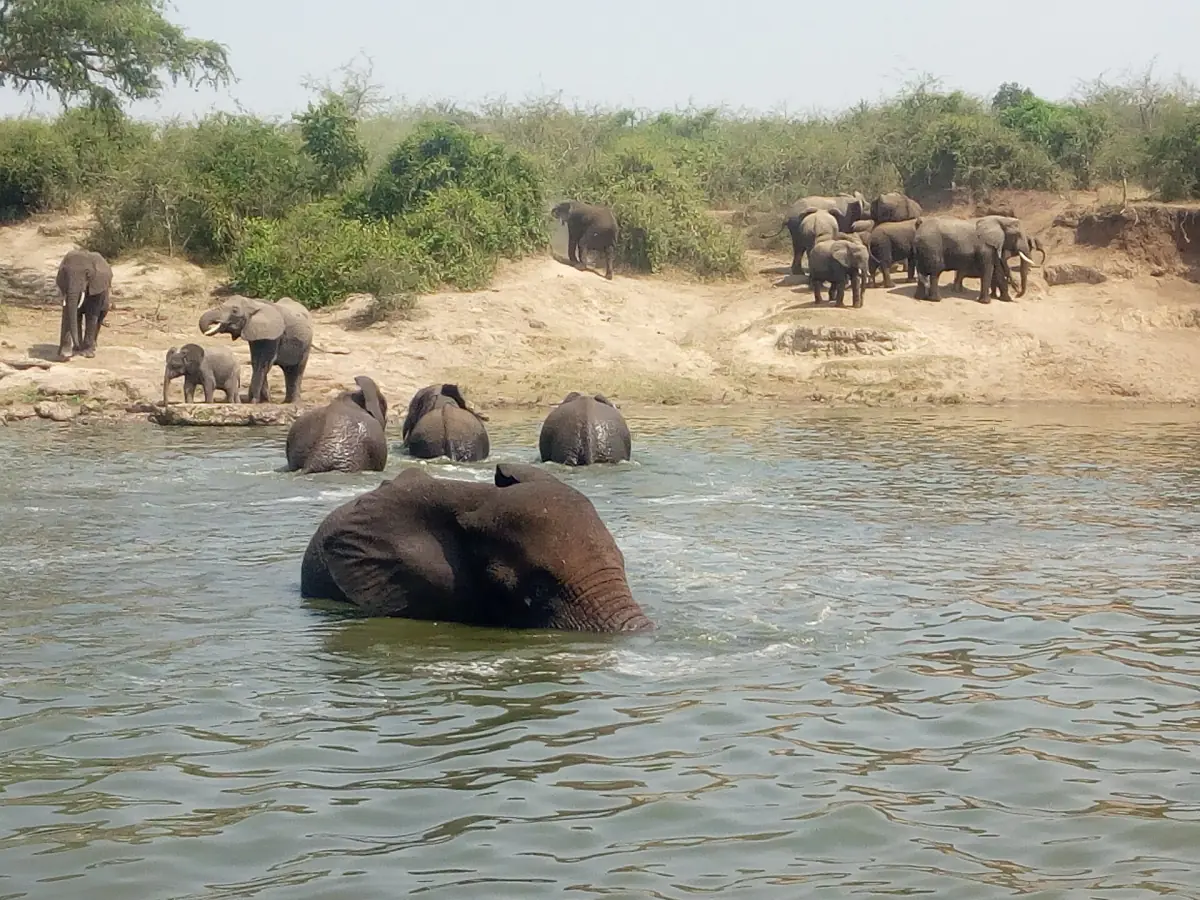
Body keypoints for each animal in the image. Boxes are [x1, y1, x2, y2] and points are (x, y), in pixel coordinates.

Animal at [913, 216, 1043, 303]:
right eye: (1017, 235)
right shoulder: (985, 246)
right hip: (932, 246)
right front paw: (986, 302)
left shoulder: (994, 246)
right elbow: (989, 269)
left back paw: (920, 297)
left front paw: (1006, 299)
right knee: (935, 271)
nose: (1017, 295)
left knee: (922, 271)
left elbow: (998, 270)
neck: (1000, 220)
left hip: (923, 249)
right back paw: (936, 299)